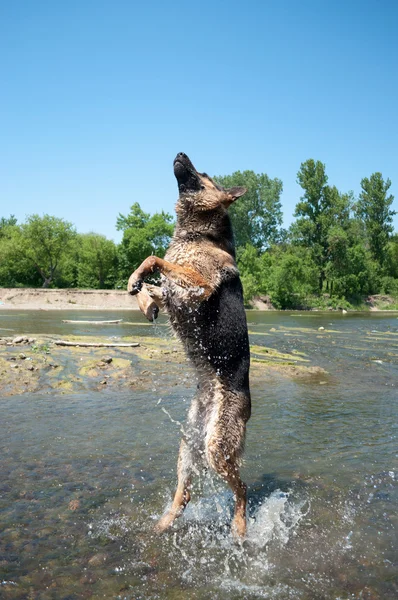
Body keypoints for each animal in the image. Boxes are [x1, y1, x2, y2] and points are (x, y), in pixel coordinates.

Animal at [127, 152, 250, 536]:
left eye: (205, 173)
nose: (180, 153)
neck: (197, 235)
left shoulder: (198, 285)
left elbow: (154, 259)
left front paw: (138, 280)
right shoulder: (175, 296)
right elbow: (153, 282)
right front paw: (140, 295)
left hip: (215, 449)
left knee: (243, 488)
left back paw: (241, 526)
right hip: (188, 445)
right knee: (185, 494)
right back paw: (164, 522)